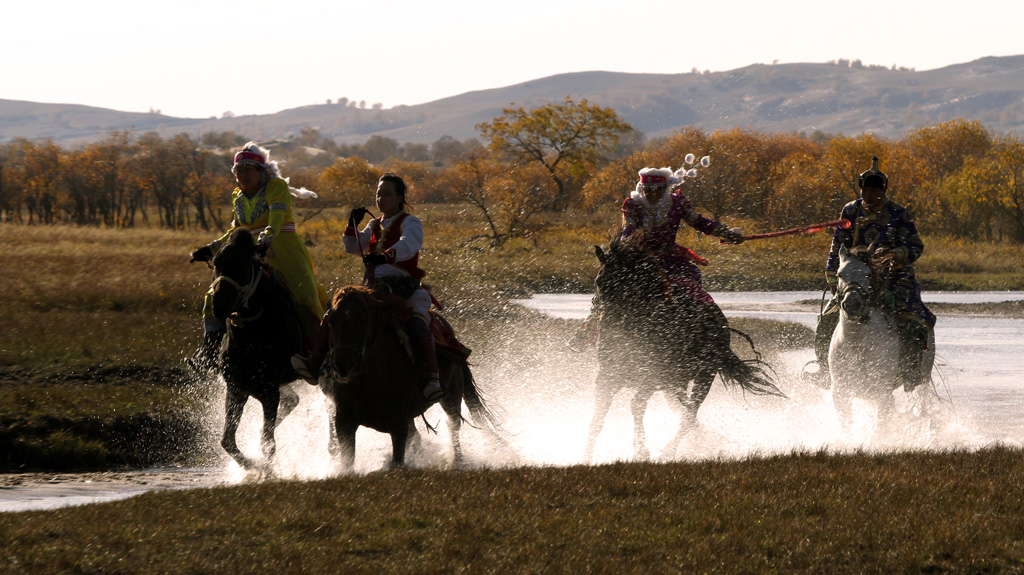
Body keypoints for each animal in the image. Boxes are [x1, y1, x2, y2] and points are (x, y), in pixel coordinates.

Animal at [206, 226, 315, 468]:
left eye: (243, 263)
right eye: (216, 262)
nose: (218, 304)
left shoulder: (269, 391)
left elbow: (268, 443)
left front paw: (265, 469)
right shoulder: (236, 389)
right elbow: (227, 441)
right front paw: (251, 466)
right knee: (292, 402)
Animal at [585, 235, 782, 458]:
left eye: (628, 282)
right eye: (599, 282)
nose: (606, 323)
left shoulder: (652, 378)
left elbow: (637, 406)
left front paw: (642, 451)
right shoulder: (607, 377)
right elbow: (599, 415)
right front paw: (586, 456)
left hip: (704, 375)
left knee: (689, 413)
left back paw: (669, 451)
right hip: (677, 382)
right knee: (686, 411)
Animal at [831, 243, 937, 431]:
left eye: (868, 274)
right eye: (839, 274)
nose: (852, 305)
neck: (857, 344)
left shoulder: (882, 393)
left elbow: (880, 427)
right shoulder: (841, 393)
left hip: (922, 378)